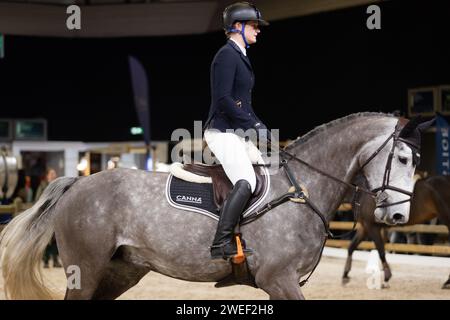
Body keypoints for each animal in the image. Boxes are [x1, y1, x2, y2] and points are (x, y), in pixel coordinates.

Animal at [1, 113, 420, 300]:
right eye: (402, 158)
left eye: (416, 161)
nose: (398, 216)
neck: (302, 187)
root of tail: (77, 182)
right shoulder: (279, 280)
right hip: (84, 271)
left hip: (121, 271)